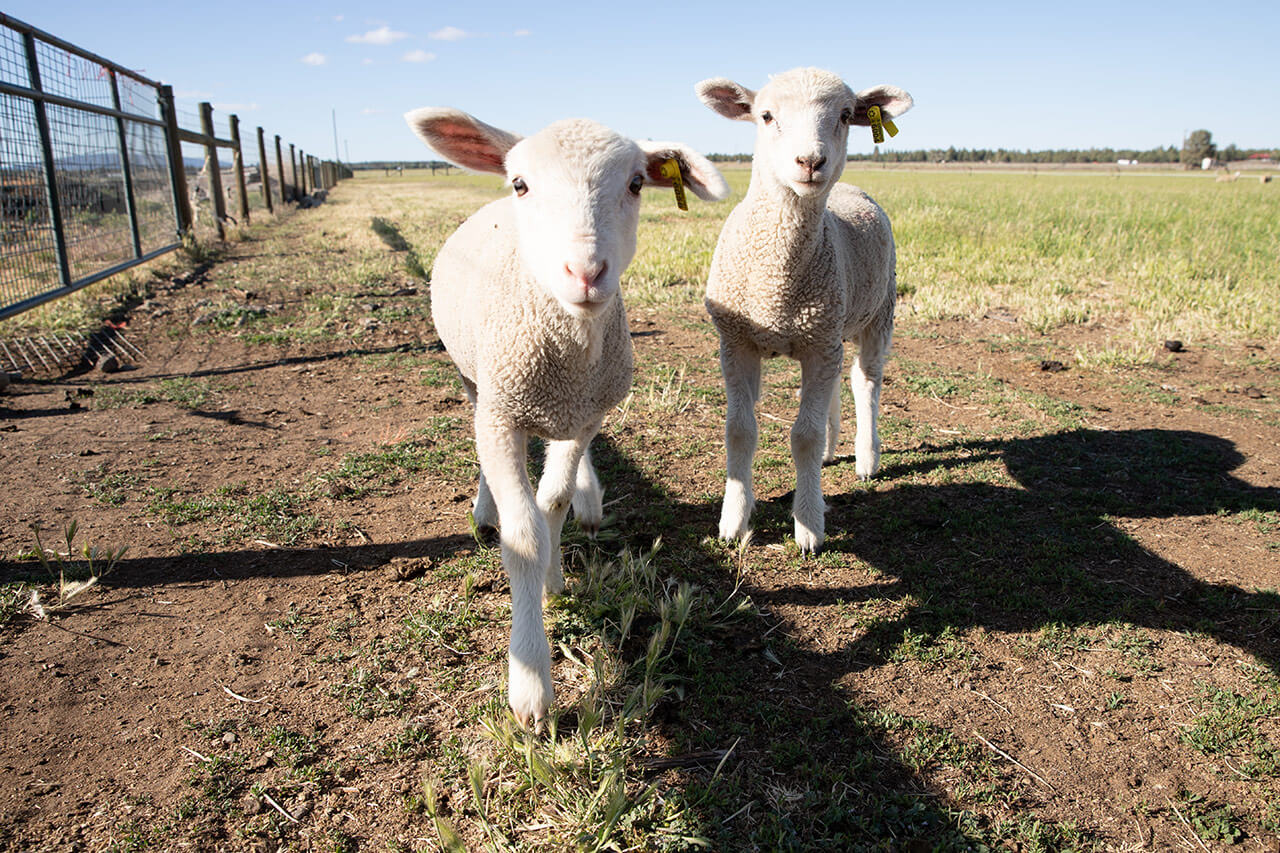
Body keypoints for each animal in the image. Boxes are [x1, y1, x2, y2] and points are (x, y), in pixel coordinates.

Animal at [405, 107, 728, 726]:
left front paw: (553, 579)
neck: (566, 355)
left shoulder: (583, 418)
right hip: (474, 379)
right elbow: (524, 534)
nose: (585, 271)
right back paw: (484, 509)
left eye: (636, 184)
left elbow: (551, 503)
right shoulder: (502, 414)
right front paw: (531, 686)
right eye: (521, 184)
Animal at [695, 68, 913, 554]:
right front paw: (733, 522)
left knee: (865, 382)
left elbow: (804, 436)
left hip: (878, 313)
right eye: (765, 115)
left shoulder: (819, 343)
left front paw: (809, 525)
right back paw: (834, 449)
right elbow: (740, 429)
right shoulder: (737, 342)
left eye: (846, 115)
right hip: (830, 326)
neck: (777, 283)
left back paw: (866, 457)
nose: (811, 162)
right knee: (834, 386)